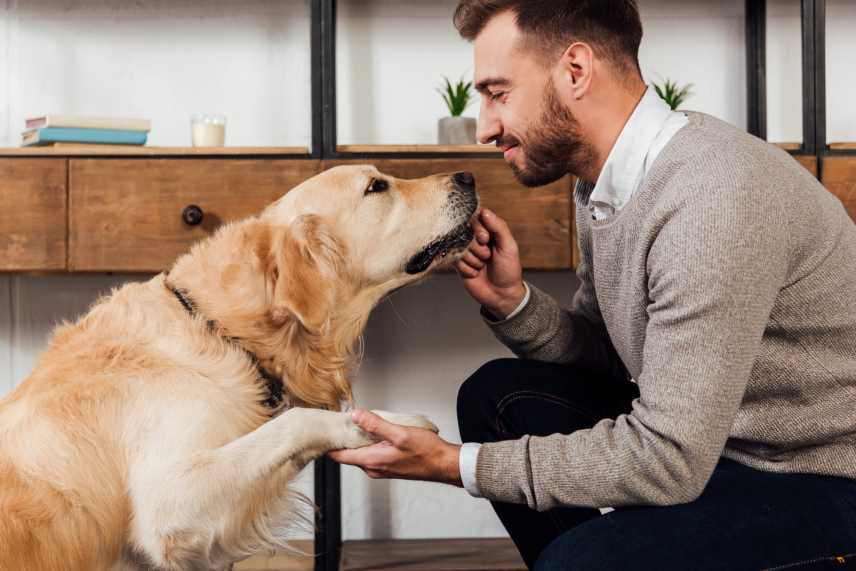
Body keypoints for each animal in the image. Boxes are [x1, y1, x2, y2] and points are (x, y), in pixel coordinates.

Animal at [0, 166, 482, 571]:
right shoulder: (168, 502)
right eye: (377, 186)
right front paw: (388, 424)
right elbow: (297, 420)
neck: (218, 329)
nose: (467, 176)